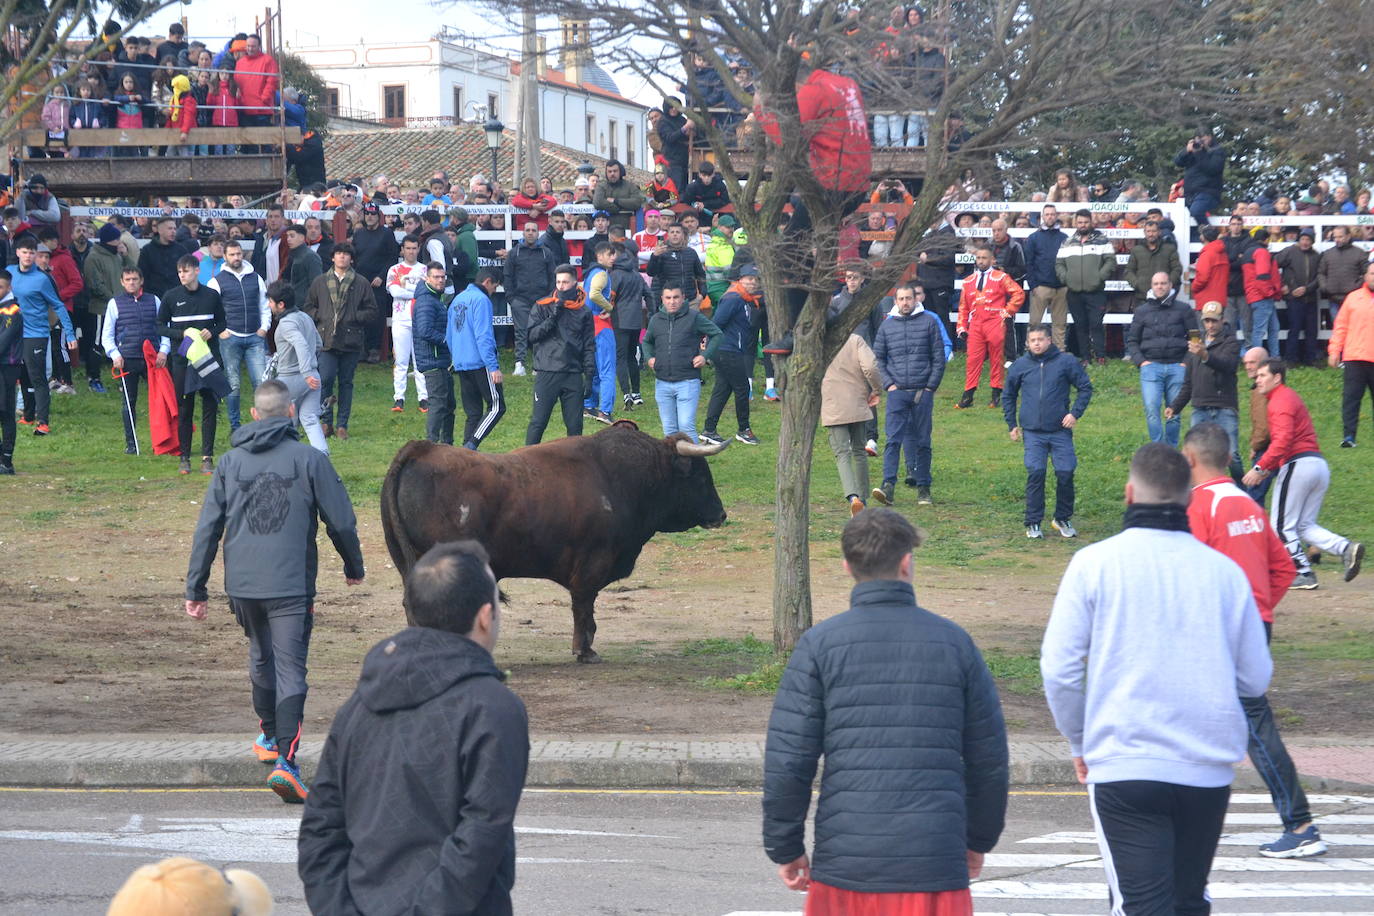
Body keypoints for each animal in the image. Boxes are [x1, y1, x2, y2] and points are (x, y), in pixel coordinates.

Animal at [381, 420, 730, 661]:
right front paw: (585, 651)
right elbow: (583, 606)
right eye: (700, 476)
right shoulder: (593, 563)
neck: (625, 479)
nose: (721, 514)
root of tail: (421, 449)